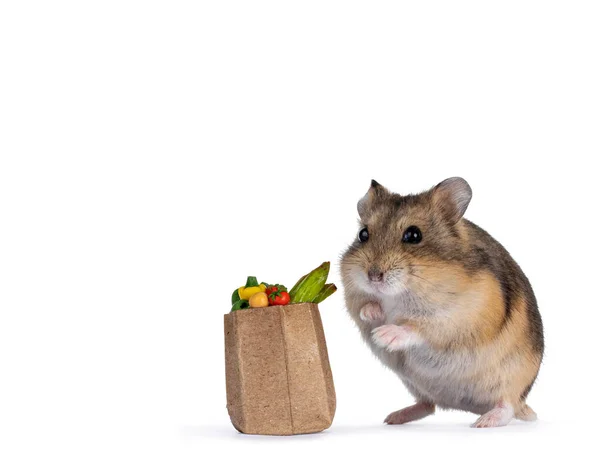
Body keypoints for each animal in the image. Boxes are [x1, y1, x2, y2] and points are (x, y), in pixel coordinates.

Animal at [342, 178, 544, 428]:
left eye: (413, 235)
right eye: (363, 234)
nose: (373, 276)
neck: (400, 294)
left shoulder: (457, 319)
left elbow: (418, 327)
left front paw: (383, 336)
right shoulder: (355, 298)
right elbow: (365, 307)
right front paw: (372, 315)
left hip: (510, 380)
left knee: (507, 406)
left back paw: (483, 422)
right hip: (416, 386)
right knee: (428, 405)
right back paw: (393, 418)